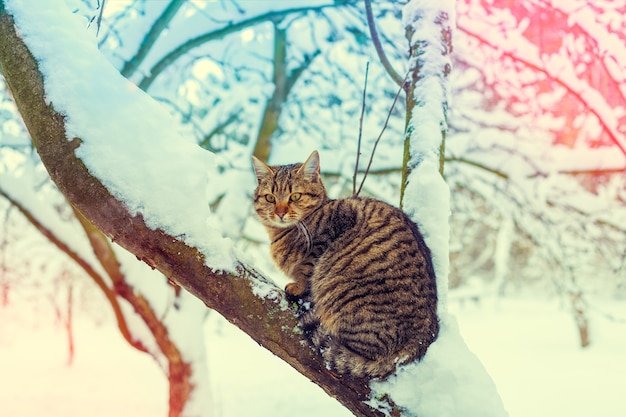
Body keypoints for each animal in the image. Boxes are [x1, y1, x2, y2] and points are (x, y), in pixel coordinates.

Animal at [251, 150, 436, 380]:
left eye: (295, 196)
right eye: (270, 197)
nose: (280, 212)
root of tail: (419, 344)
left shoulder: (332, 230)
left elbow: (307, 270)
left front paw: (298, 286)